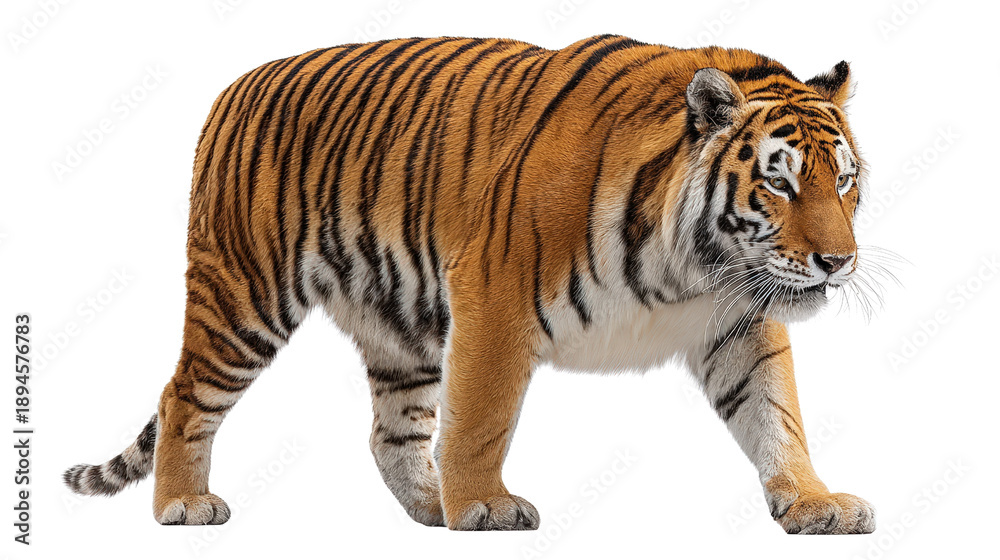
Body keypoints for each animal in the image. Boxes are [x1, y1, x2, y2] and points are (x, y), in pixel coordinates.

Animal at [64, 34, 877, 534]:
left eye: (843, 182)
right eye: (779, 183)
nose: (839, 262)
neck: (695, 267)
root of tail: (234, 86)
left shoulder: (739, 322)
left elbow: (777, 415)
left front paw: (814, 504)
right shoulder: (495, 293)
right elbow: (483, 417)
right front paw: (484, 506)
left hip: (398, 324)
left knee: (390, 433)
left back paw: (430, 504)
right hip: (243, 297)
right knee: (182, 395)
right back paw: (183, 505)